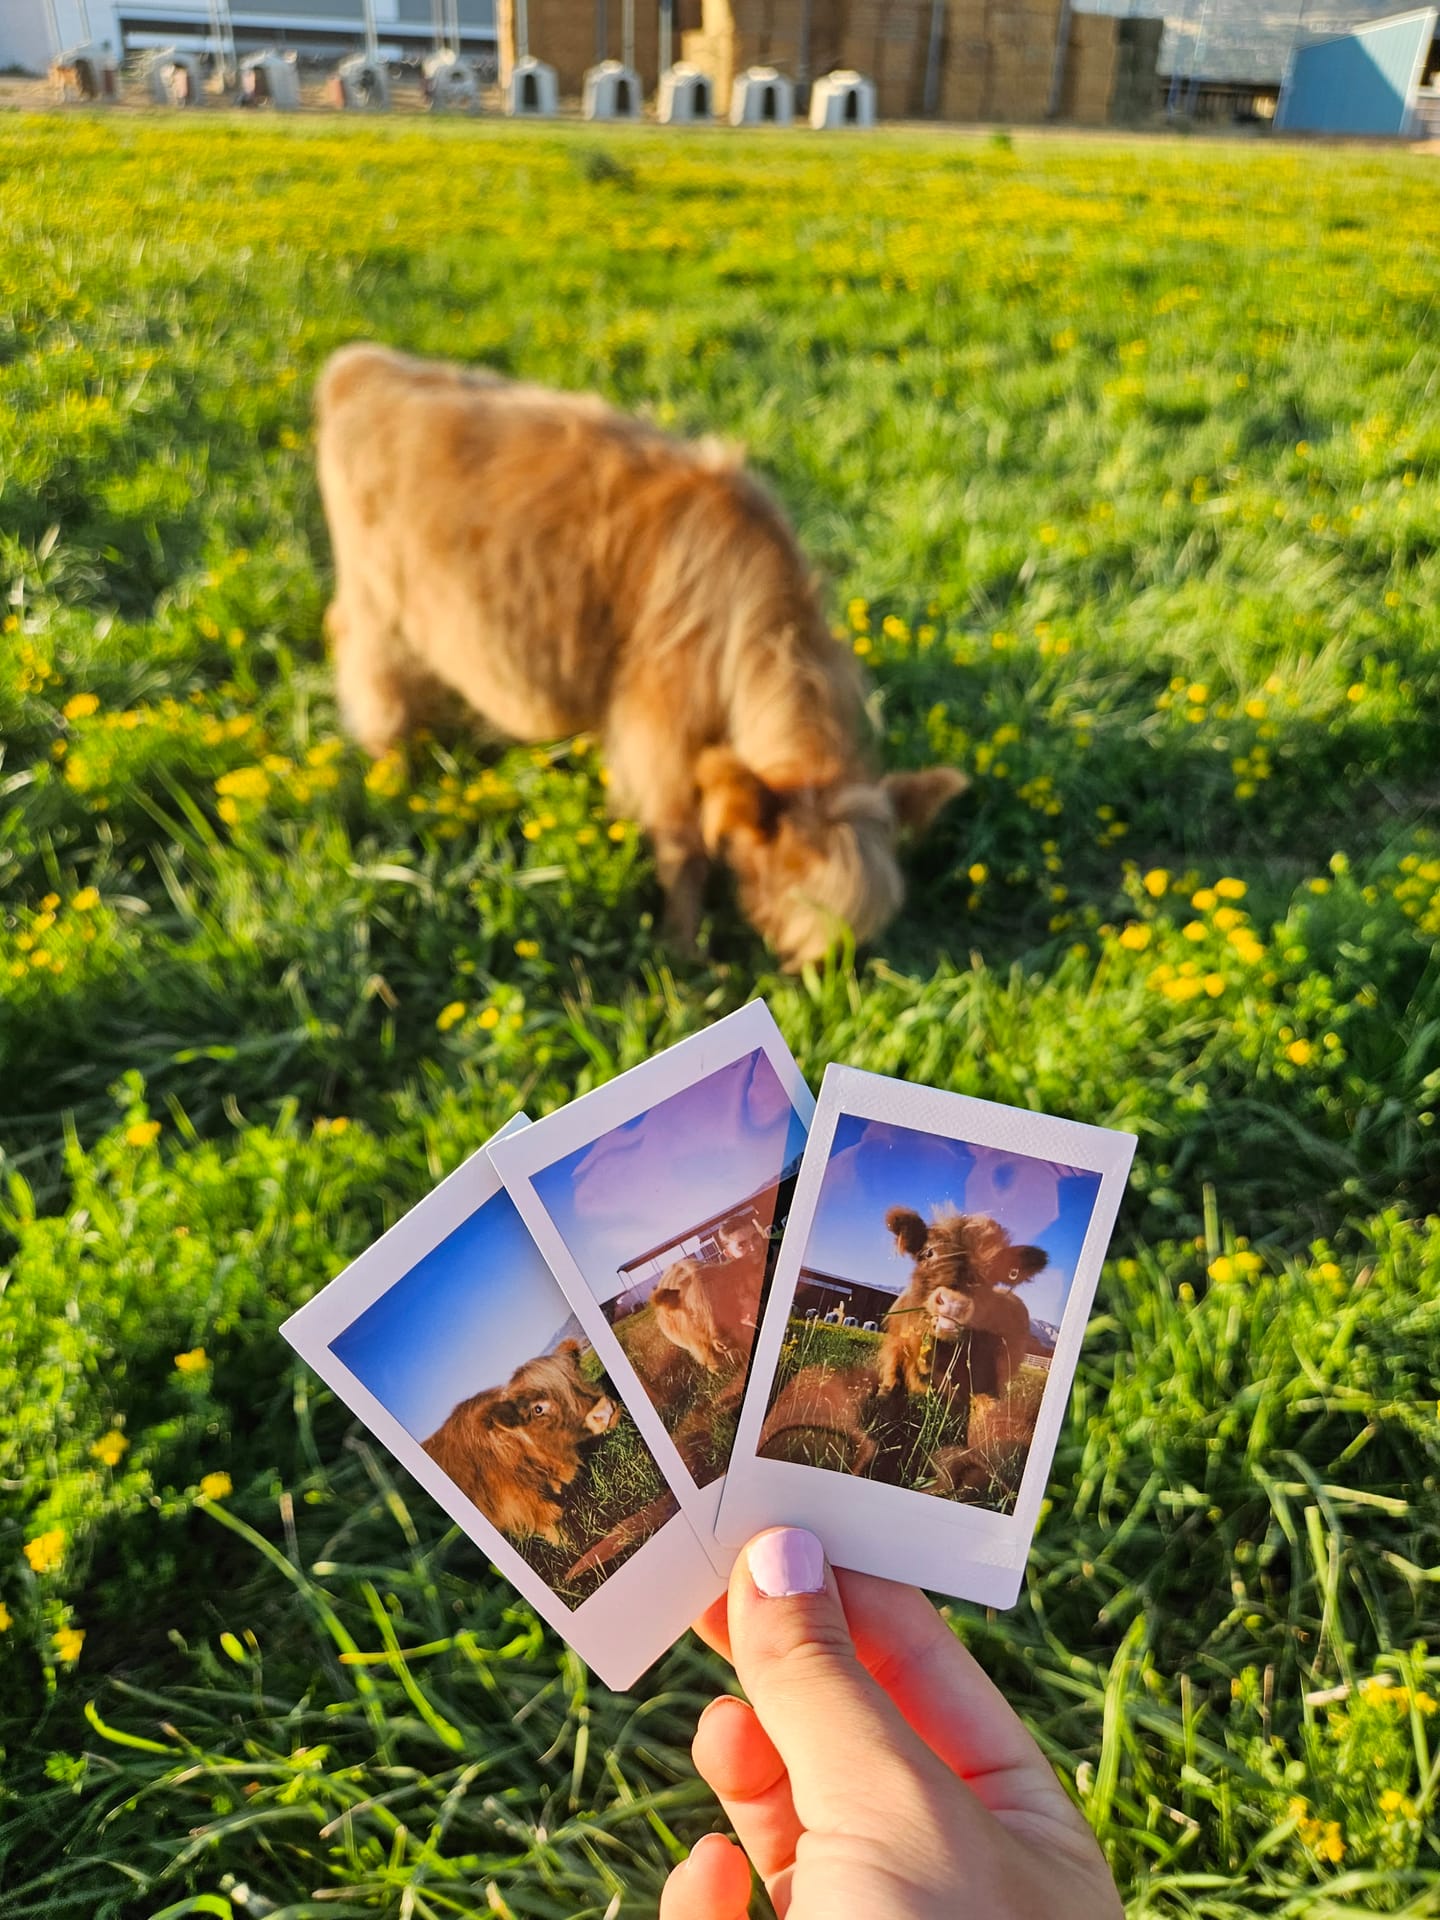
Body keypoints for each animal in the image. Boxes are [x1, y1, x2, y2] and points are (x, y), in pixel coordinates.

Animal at [422, 1338, 619, 1546]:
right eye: (538, 1409)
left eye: (574, 1378)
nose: (606, 1410)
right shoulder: (527, 1506)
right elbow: (554, 1527)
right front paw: (572, 1546)